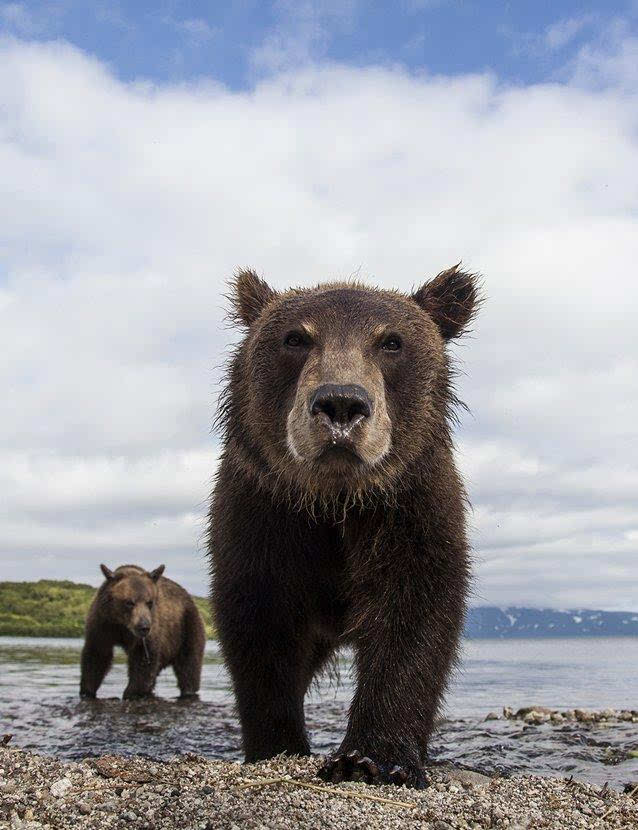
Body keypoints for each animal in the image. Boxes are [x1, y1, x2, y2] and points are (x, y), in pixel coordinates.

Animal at [79, 564, 206, 704]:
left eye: (149, 602)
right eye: (129, 602)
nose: (144, 626)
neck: (122, 624)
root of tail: (189, 598)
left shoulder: (150, 631)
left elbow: (143, 659)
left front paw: (131, 693)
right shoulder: (102, 623)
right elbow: (97, 655)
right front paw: (87, 691)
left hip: (187, 626)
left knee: (189, 665)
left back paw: (188, 690)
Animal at [208, 264, 482, 788]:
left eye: (391, 342)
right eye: (296, 338)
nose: (340, 404)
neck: (335, 502)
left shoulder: (407, 509)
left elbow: (415, 612)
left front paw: (374, 759)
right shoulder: (265, 515)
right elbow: (260, 622)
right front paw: (277, 744)